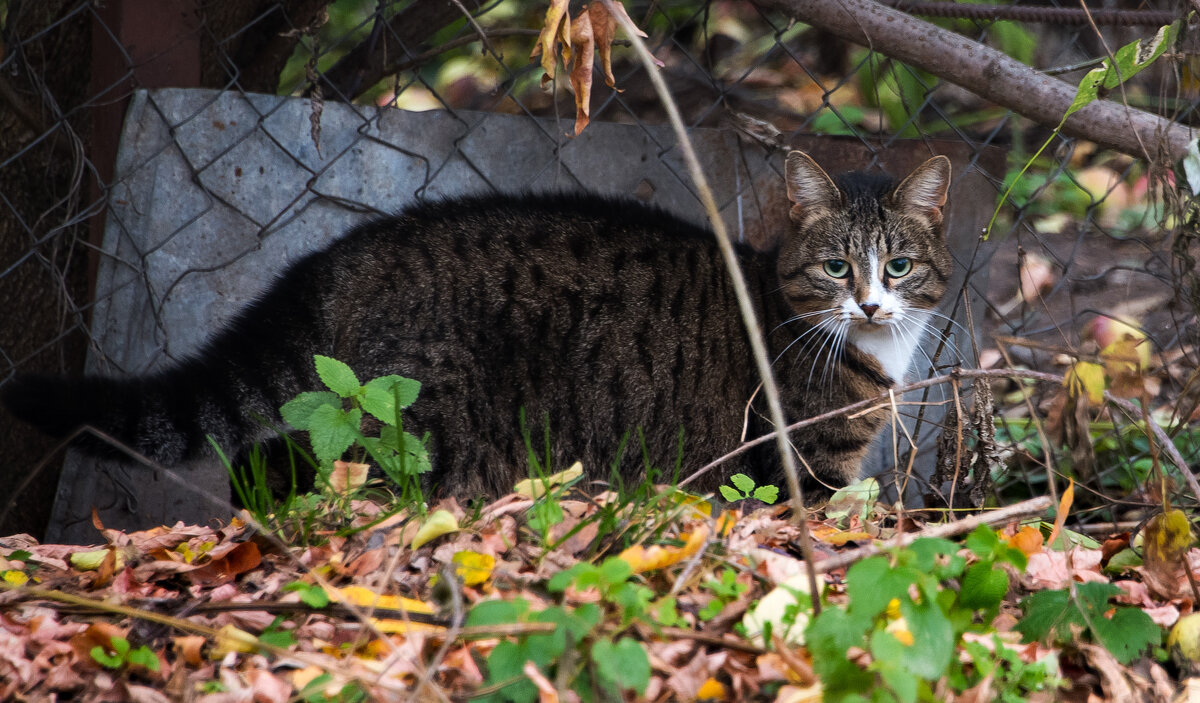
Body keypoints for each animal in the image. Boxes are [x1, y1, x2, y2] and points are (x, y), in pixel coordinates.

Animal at [2, 150, 955, 494]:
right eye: (837, 268)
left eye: (899, 267)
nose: (871, 301)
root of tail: (352, 248)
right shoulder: (809, 461)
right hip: (424, 423)